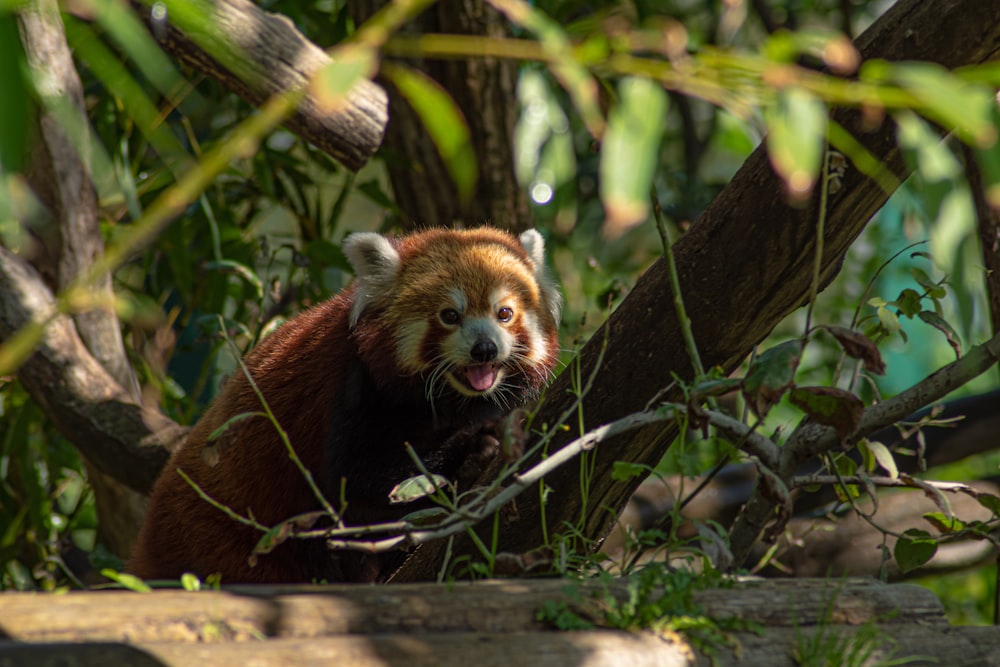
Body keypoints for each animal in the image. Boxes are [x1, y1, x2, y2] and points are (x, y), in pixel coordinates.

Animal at [128, 228, 560, 584]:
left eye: (504, 313)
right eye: (450, 315)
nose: (484, 349)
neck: (451, 400)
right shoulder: (350, 391)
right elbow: (366, 482)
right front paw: (475, 443)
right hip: (231, 541)